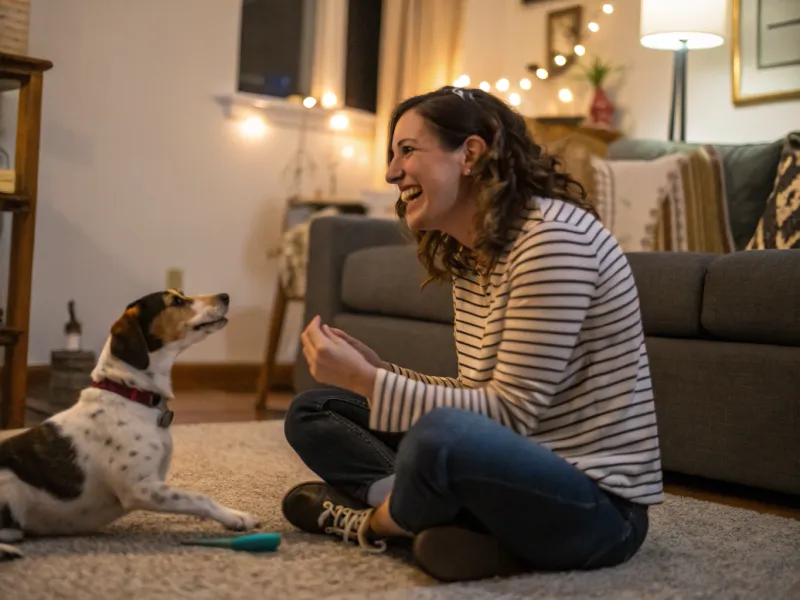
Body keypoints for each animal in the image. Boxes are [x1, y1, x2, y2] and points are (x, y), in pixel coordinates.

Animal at [0, 288, 260, 560]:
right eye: (176, 301)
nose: (225, 296)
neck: (130, 393)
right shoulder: (140, 488)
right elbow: (199, 498)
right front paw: (235, 517)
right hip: (8, 481)